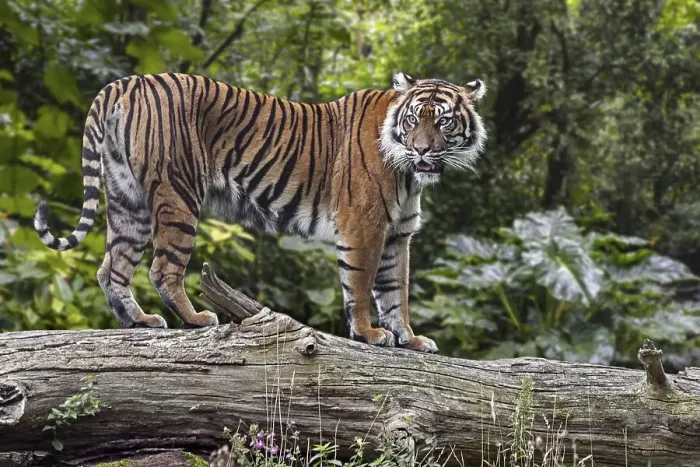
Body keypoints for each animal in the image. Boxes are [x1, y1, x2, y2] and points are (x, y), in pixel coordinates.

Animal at [33, 71, 486, 353]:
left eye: (443, 122)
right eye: (412, 120)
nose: (422, 150)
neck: (410, 175)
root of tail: (128, 81)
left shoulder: (398, 234)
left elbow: (395, 292)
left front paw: (409, 339)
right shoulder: (365, 225)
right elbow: (360, 286)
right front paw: (368, 333)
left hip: (129, 200)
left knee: (112, 267)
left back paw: (139, 321)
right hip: (178, 195)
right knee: (162, 269)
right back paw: (197, 319)